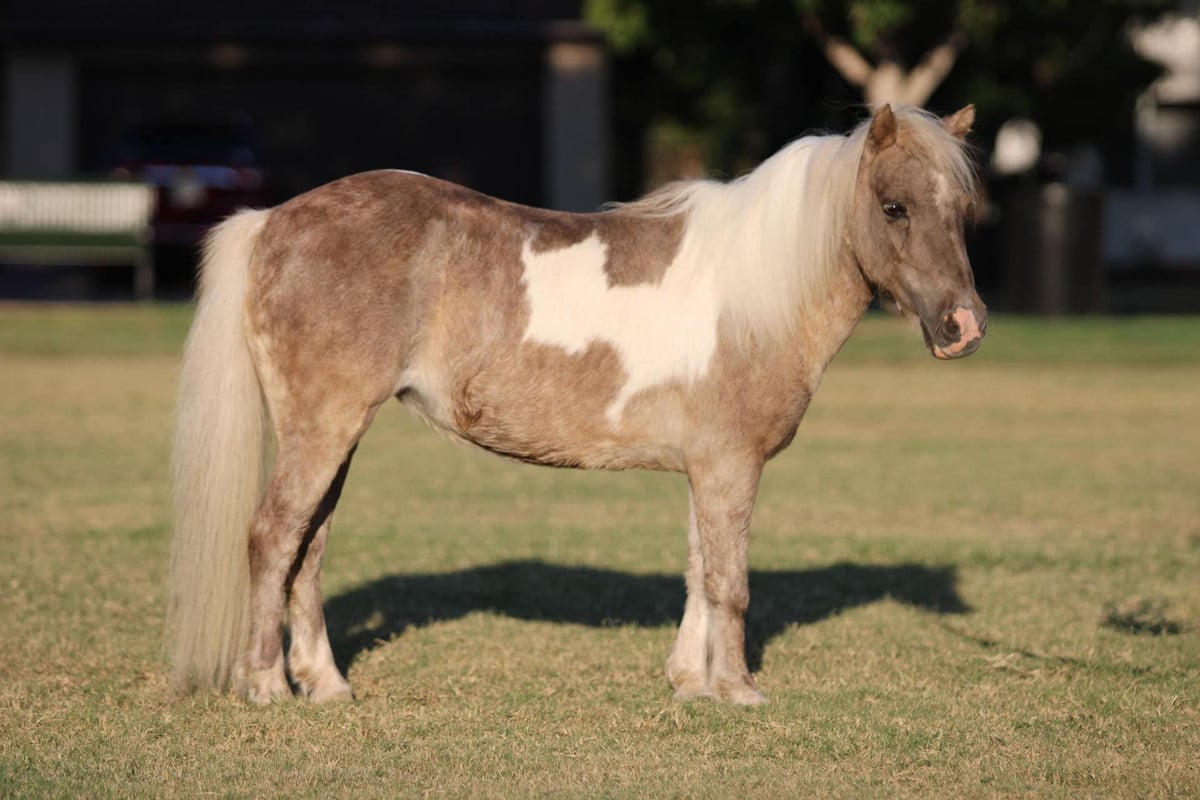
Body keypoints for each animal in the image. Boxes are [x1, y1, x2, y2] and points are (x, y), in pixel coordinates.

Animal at [168, 103, 986, 705]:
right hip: (324, 428)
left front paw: (690, 683)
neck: (755, 293)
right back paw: (268, 685)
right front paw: (738, 690)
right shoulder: (730, 466)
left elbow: (699, 569)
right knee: (274, 537)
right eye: (893, 207)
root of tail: (272, 220)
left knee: (308, 547)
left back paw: (328, 685)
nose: (965, 326)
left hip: (332, 435)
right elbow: (730, 580)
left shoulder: (706, 468)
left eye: (963, 210)